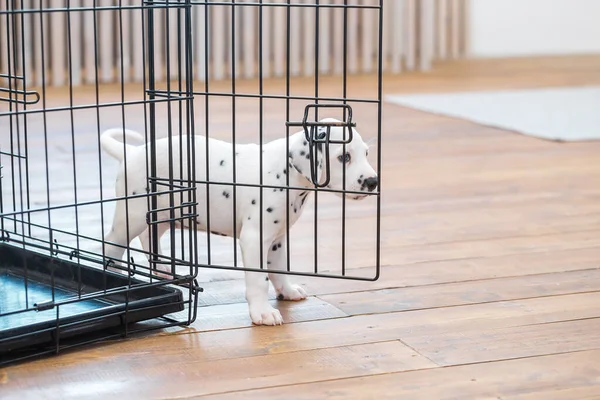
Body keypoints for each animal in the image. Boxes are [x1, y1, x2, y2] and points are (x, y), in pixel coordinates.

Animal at [100, 119, 378, 324]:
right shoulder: (255, 238)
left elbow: (279, 269)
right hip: (132, 215)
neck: (286, 173)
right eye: (344, 157)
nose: (373, 181)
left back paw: (162, 269)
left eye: (365, 153)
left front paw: (287, 291)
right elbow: (259, 279)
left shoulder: (277, 239)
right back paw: (114, 275)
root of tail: (133, 152)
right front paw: (262, 312)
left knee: (149, 237)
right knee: (110, 244)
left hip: (164, 214)